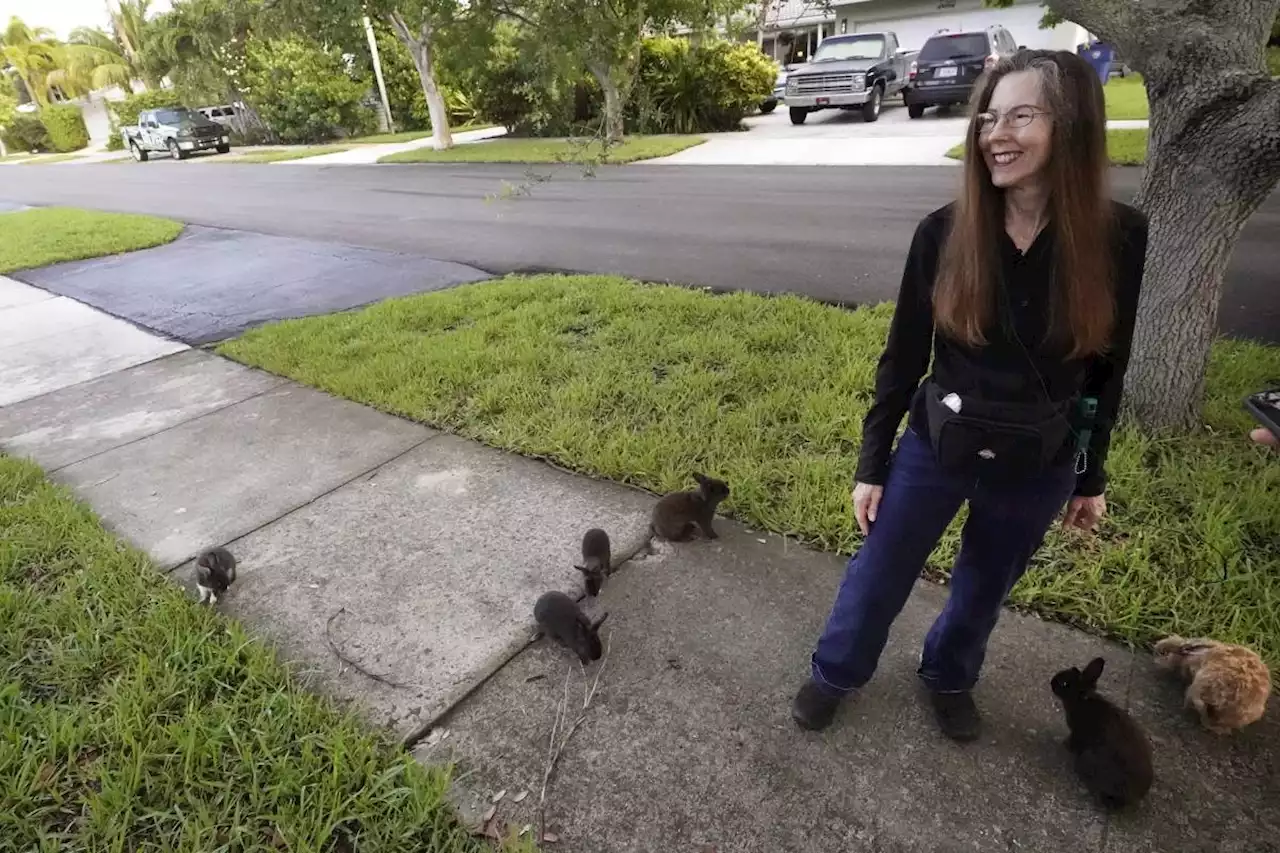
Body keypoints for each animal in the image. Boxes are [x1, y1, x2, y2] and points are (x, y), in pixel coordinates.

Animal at [1049, 653, 1162, 809]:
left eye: (1065, 683)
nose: (1051, 682)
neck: (1081, 699)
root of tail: (1134, 797)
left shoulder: (1078, 733)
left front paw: (1066, 745)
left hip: (1089, 757)